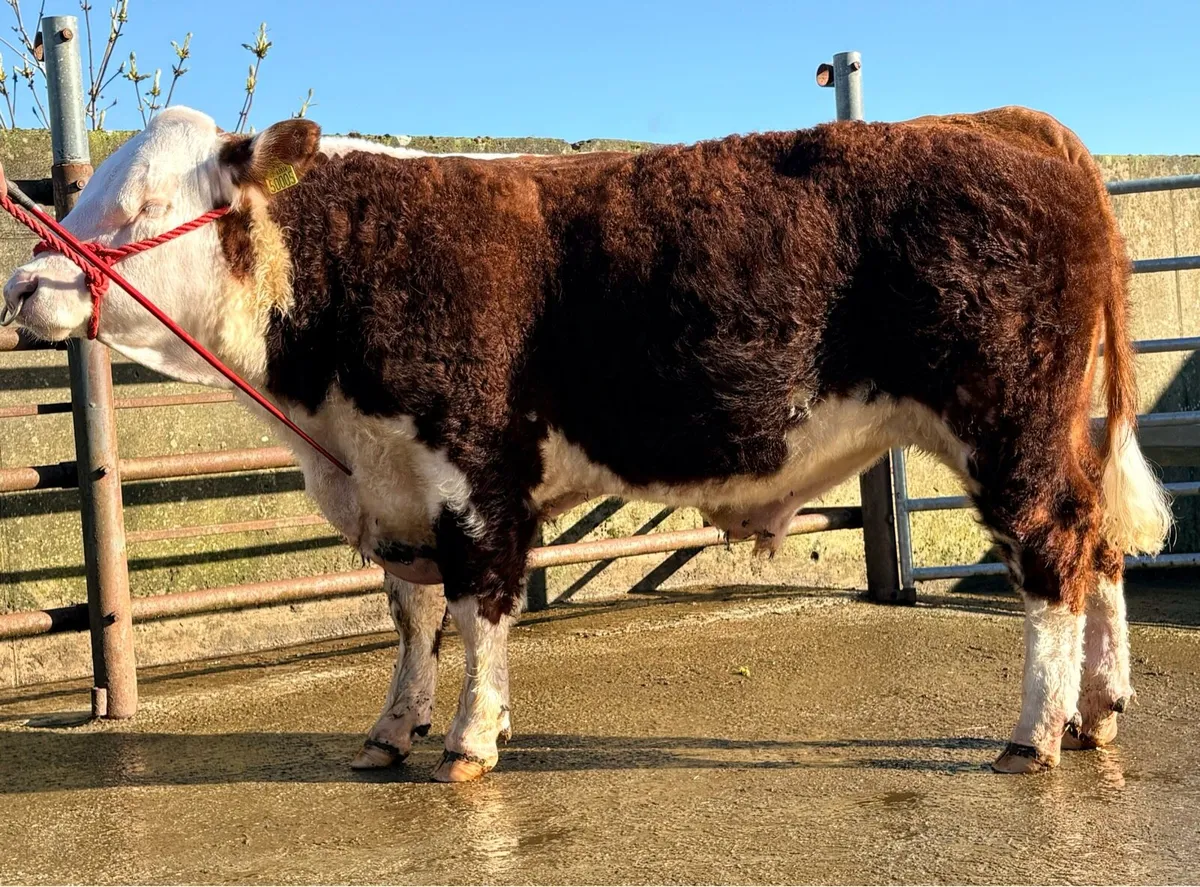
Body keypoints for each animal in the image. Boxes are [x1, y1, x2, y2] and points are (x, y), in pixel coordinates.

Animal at [2, 105, 1170, 782]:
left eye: (141, 203)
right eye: (88, 193)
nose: (23, 286)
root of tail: (1006, 126)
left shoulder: (473, 471)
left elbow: (479, 607)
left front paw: (470, 739)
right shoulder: (385, 476)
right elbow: (410, 614)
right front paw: (389, 731)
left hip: (1008, 423)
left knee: (1052, 556)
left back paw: (1034, 730)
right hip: (1059, 429)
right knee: (1100, 545)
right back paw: (1099, 710)